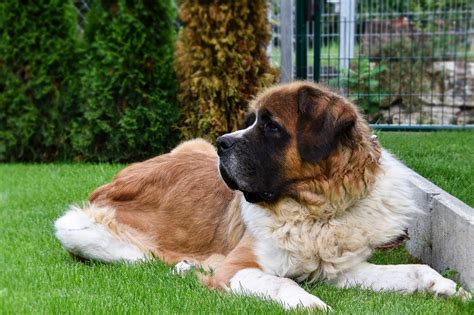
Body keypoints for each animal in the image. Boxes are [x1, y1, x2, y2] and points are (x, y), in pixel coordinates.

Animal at [54, 81, 470, 312]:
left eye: (270, 127)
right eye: (250, 121)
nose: (222, 142)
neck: (315, 208)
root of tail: (114, 179)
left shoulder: (341, 271)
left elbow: (412, 270)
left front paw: (445, 287)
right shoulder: (241, 267)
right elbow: (280, 282)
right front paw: (310, 304)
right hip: (77, 227)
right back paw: (189, 266)